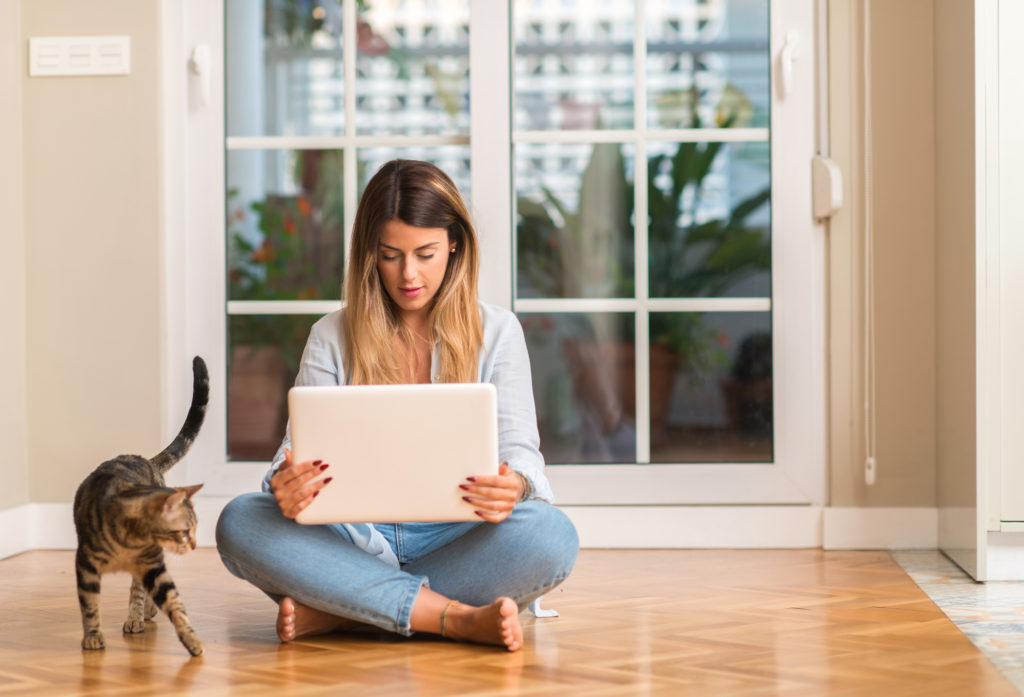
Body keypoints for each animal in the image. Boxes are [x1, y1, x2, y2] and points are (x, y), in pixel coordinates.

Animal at [73, 356, 208, 655]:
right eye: (185, 530)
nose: (194, 545)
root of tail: (145, 459)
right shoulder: (85, 564)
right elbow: (90, 606)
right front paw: (93, 637)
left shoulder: (152, 563)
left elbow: (172, 602)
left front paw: (191, 639)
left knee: (139, 590)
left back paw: (139, 615)